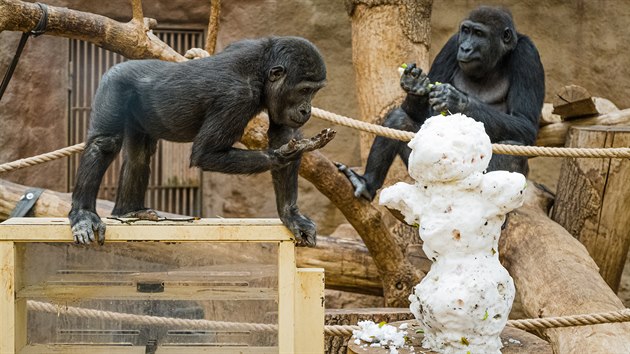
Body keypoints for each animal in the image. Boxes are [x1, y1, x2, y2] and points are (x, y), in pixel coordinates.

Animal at [69, 36, 336, 246]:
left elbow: (283, 133)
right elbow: (207, 153)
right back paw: (83, 214)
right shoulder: (236, 98)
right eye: (304, 90)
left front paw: (291, 215)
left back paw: (129, 211)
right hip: (114, 85)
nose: (306, 110)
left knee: (139, 157)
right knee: (104, 143)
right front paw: (285, 154)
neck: (261, 72)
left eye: (314, 91)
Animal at [340, 5, 548, 201]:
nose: (465, 48)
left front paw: (457, 100)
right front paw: (416, 85)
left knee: (512, 149)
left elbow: (525, 123)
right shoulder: (452, 44)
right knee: (399, 119)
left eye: (479, 34)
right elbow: (420, 116)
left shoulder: (527, 54)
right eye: (466, 31)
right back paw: (367, 183)